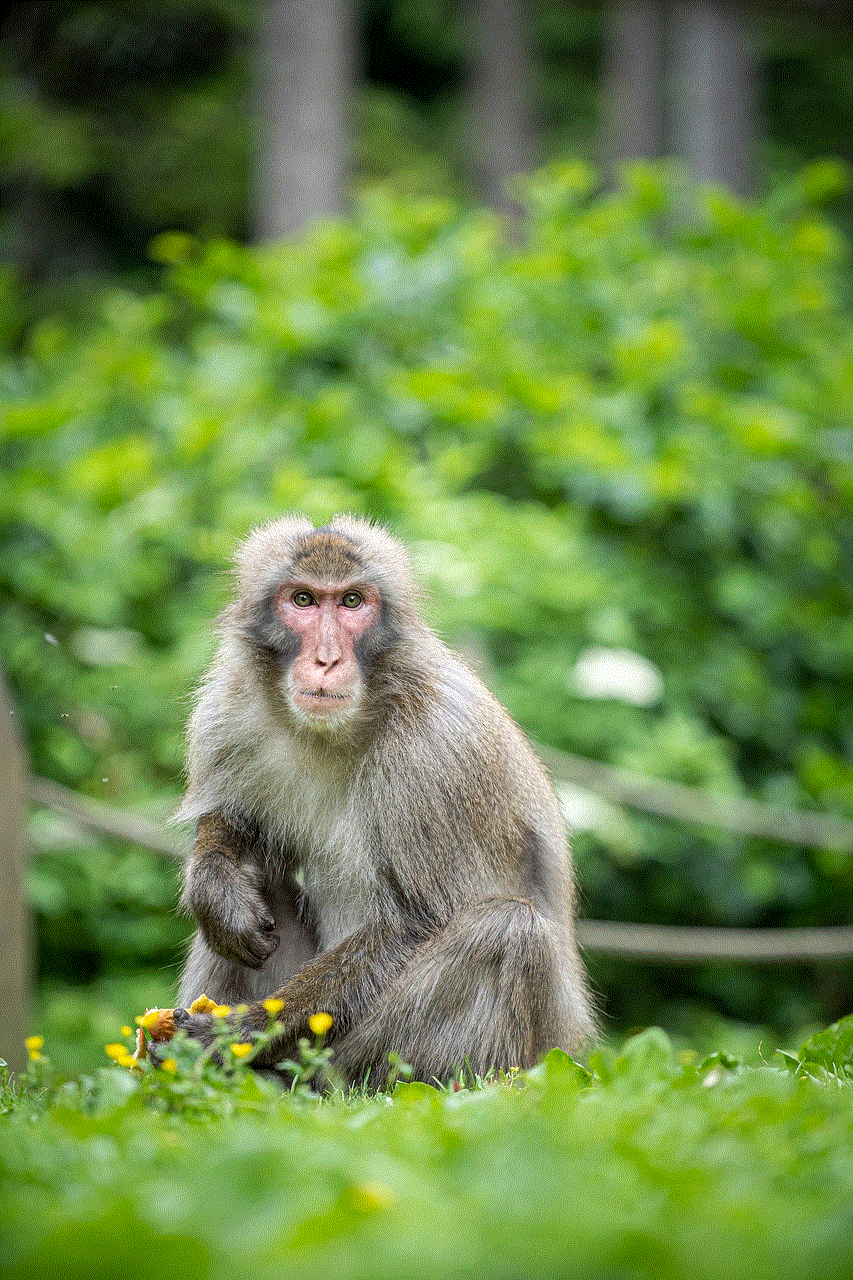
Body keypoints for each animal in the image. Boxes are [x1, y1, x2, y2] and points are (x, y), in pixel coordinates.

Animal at [166, 514, 594, 1085]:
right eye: (303, 599)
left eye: (352, 602)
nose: (326, 659)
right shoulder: (230, 703)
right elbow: (235, 820)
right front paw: (216, 889)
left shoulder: (435, 755)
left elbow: (416, 924)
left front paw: (242, 1031)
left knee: (508, 932)